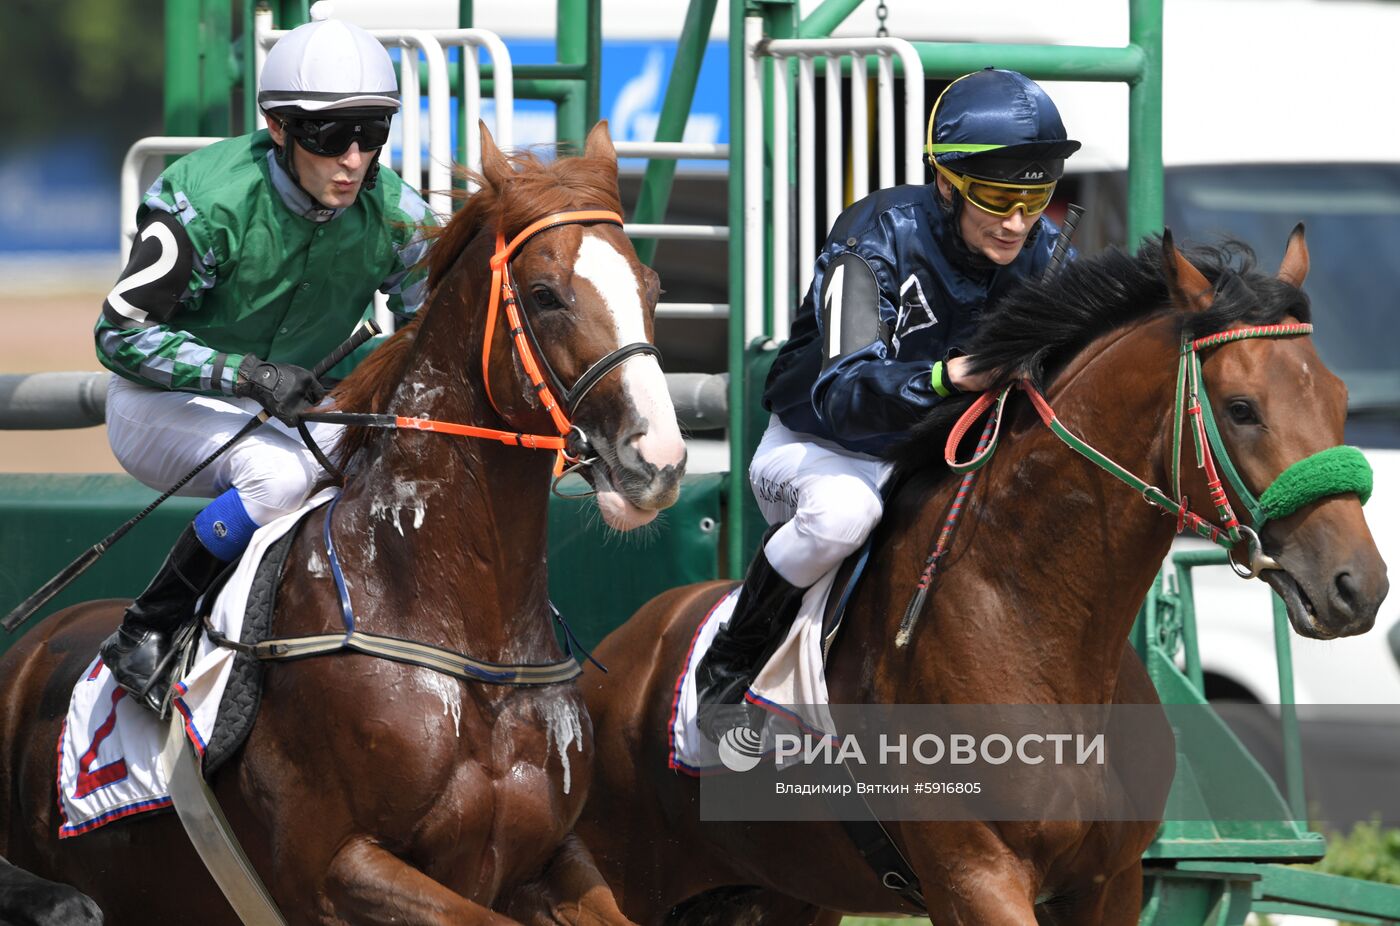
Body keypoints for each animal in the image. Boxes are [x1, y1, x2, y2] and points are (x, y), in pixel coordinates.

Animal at [0, 122, 683, 924]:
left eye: (652, 288)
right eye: (545, 295)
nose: (658, 458)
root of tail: (28, 650)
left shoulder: (555, 859)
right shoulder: (339, 871)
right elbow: (127, 325)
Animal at [576, 226, 1388, 918]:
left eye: (1342, 398)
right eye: (1242, 408)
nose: (1360, 586)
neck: (1034, 619)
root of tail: (614, 656)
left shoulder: (1108, 883)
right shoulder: (977, 876)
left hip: (781, 895)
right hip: (609, 886)